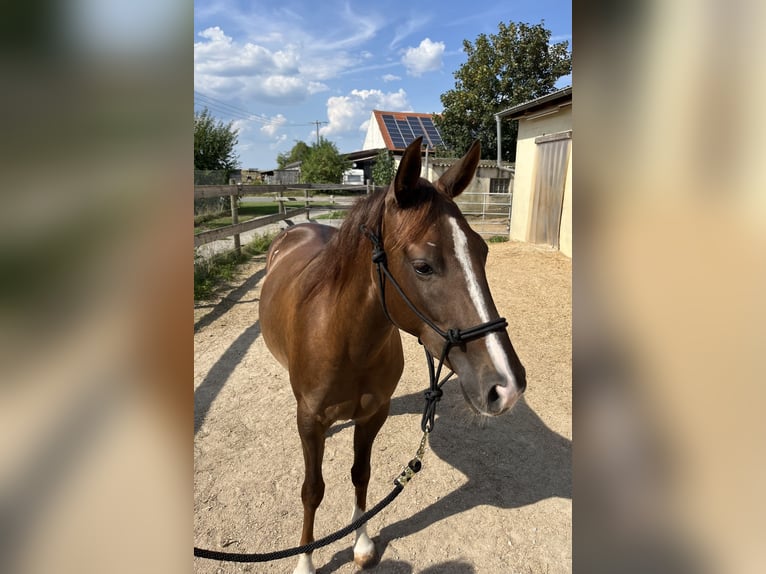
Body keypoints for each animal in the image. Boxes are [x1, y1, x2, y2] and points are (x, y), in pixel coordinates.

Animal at [260, 136, 524, 574]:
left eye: (483, 251)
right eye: (423, 266)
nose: (507, 386)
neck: (346, 343)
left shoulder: (374, 414)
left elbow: (361, 475)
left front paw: (362, 543)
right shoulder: (310, 422)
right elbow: (312, 490)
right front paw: (305, 561)